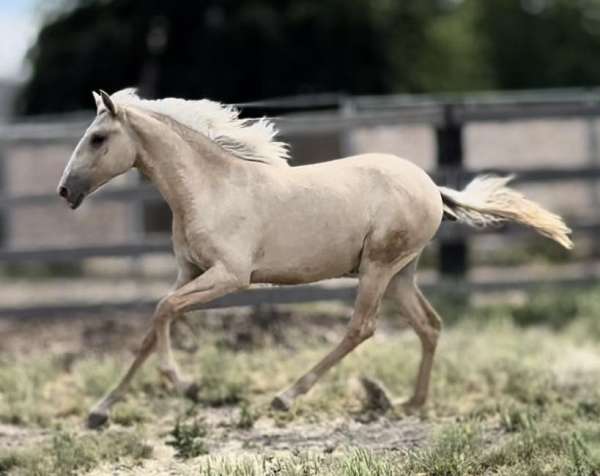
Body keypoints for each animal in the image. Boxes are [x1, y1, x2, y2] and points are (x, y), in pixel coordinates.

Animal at [56, 89, 572, 428]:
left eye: (98, 138)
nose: (64, 191)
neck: (210, 188)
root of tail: (431, 186)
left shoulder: (229, 277)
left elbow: (164, 312)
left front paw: (184, 384)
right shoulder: (190, 271)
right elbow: (150, 327)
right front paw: (99, 411)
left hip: (377, 268)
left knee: (361, 328)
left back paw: (286, 398)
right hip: (401, 273)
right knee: (429, 325)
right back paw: (410, 403)